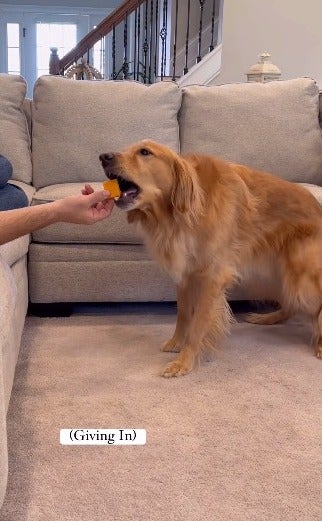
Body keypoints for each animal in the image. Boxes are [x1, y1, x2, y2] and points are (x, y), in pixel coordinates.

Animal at [100, 138, 322, 376]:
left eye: (145, 152)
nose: (103, 157)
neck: (181, 216)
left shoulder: (212, 278)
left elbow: (197, 324)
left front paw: (183, 361)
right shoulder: (185, 275)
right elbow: (183, 314)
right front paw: (176, 343)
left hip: (300, 278)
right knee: (290, 304)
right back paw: (267, 318)